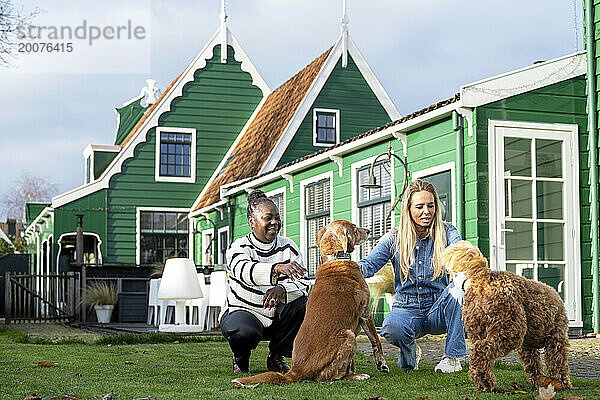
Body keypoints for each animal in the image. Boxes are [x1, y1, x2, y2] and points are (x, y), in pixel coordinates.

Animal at [230, 219, 390, 388]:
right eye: (354, 227)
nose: (368, 231)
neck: (335, 258)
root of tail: (296, 371)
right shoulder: (365, 312)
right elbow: (376, 340)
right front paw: (381, 364)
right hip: (349, 335)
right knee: (330, 376)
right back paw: (357, 376)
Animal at [442, 239, 568, 392]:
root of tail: (484, 276)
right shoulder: (556, 339)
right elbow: (558, 364)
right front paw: (562, 383)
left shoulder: (527, 347)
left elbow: (534, 365)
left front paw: (539, 381)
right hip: (510, 330)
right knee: (481, 351)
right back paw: (486, 382)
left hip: (478, 330)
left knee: (479, 354)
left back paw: (485, 382)